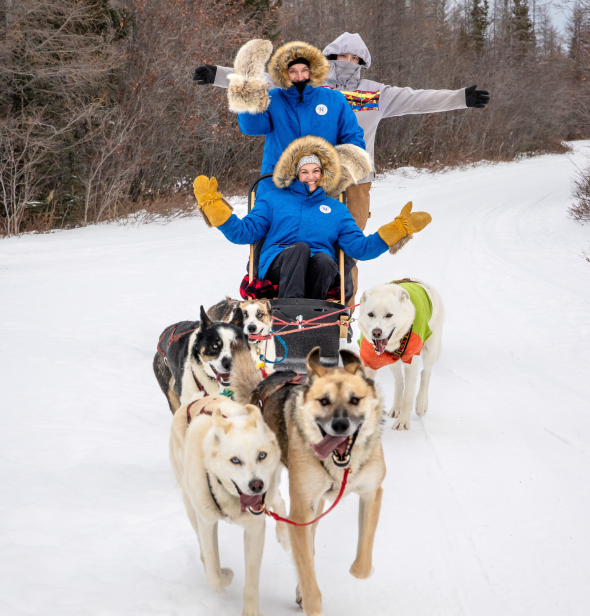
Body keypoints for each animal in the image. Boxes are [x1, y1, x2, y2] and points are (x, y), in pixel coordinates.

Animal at [170, 394, 290, 616]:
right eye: (235, 460)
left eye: (262, 455)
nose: (256, 485)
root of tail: (196, 398)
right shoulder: (207, 522)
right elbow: (214, 575)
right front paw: (225, 575)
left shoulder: (255, 527)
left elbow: (251, 580)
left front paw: (251, 611)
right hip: (191, 506)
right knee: (203, 549)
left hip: (271, 487)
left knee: (280, 500)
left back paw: (284, 535)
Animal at [231, 342, 388, 616]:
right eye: (324, 401)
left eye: (355, 400)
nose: (340, 425)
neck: (341, 467)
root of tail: (263, 386)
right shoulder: (301, 510)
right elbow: (307, 574)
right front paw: (310, 601)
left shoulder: (372, 492)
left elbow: (362, 566)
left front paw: (360, 568)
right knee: (277, 504)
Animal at [356, 278, 444, 428]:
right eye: (370, 314)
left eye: (389, 315)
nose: (376, 332)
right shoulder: (370, 363)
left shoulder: (411, 361)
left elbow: (408, 397)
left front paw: (402, 422)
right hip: (392, 362)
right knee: (399, 382)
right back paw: (396, 408)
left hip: (430, 351)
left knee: (426, 373)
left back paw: (421, 404)